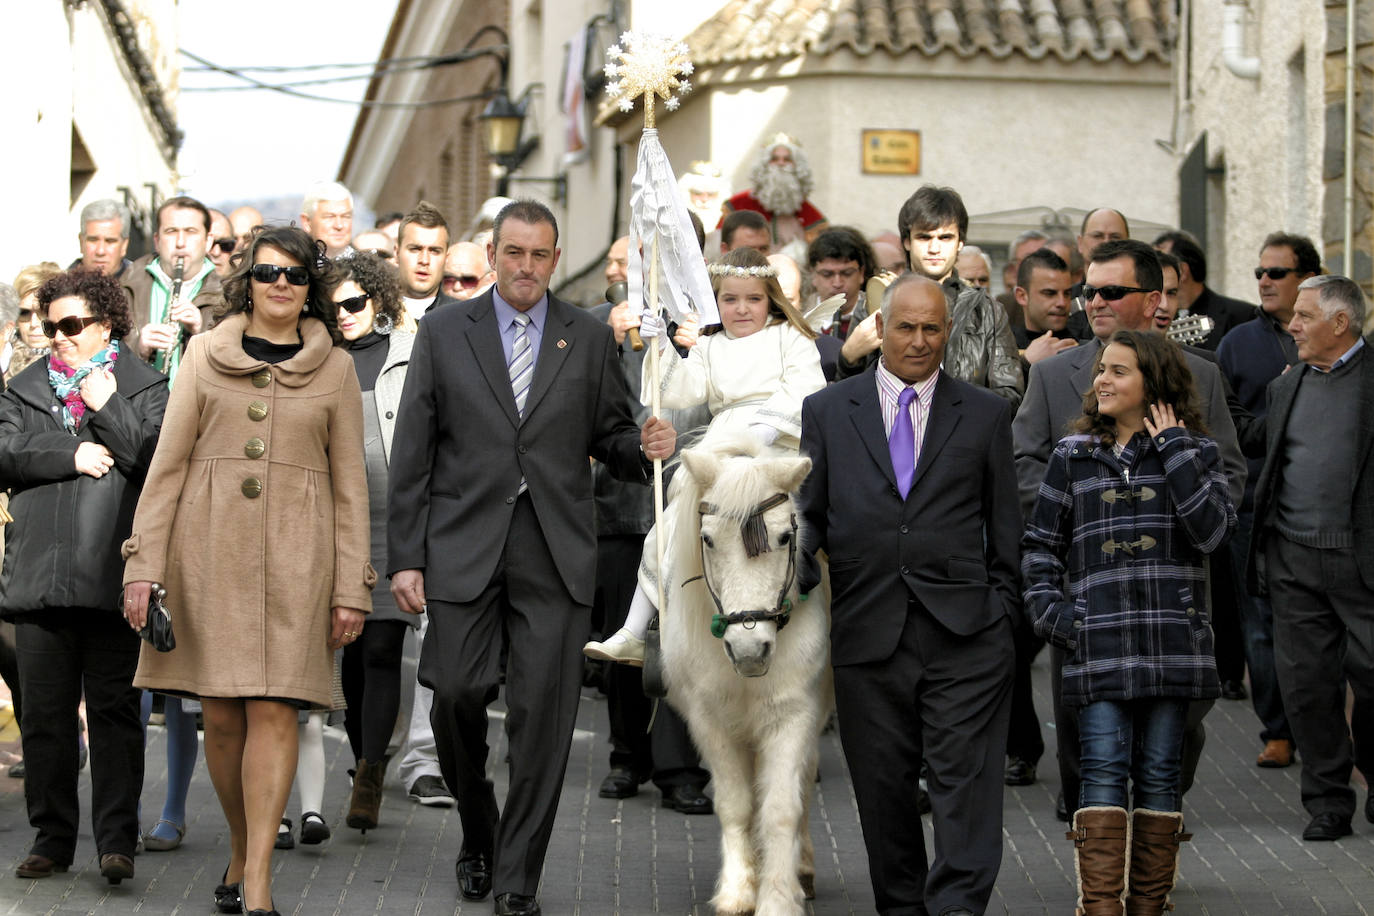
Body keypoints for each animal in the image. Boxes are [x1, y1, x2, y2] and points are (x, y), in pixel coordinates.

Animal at [659, 436, 829, 916]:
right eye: (707, 539)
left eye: (786, 536)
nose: (750, 649)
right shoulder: (710, 721)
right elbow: (736, 806)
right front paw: (737, 892)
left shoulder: (793, 715)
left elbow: (781, 809)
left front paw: (777, 897)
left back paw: (803, 870)